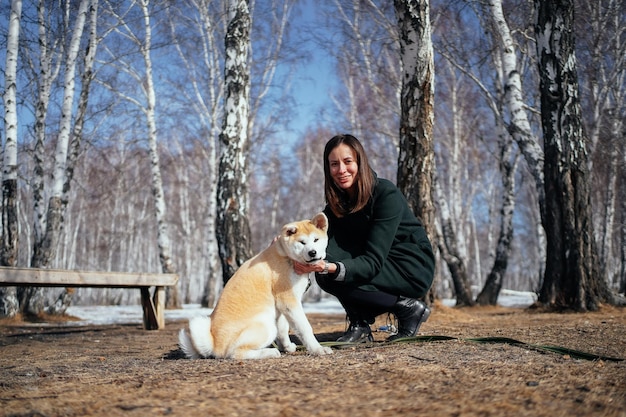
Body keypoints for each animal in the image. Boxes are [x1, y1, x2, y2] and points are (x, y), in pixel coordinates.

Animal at [178, 213, 334, 360]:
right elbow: (305, 328)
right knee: (235, 353)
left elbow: (283, 330)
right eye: (302, 242)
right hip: (266, 327)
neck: (287, 257)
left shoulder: (282, 306)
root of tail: (215, 345)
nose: (312, 252)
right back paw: (269, 352)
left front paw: (287, 347)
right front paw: (317, 349)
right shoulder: (288, 301)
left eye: (316, 240)